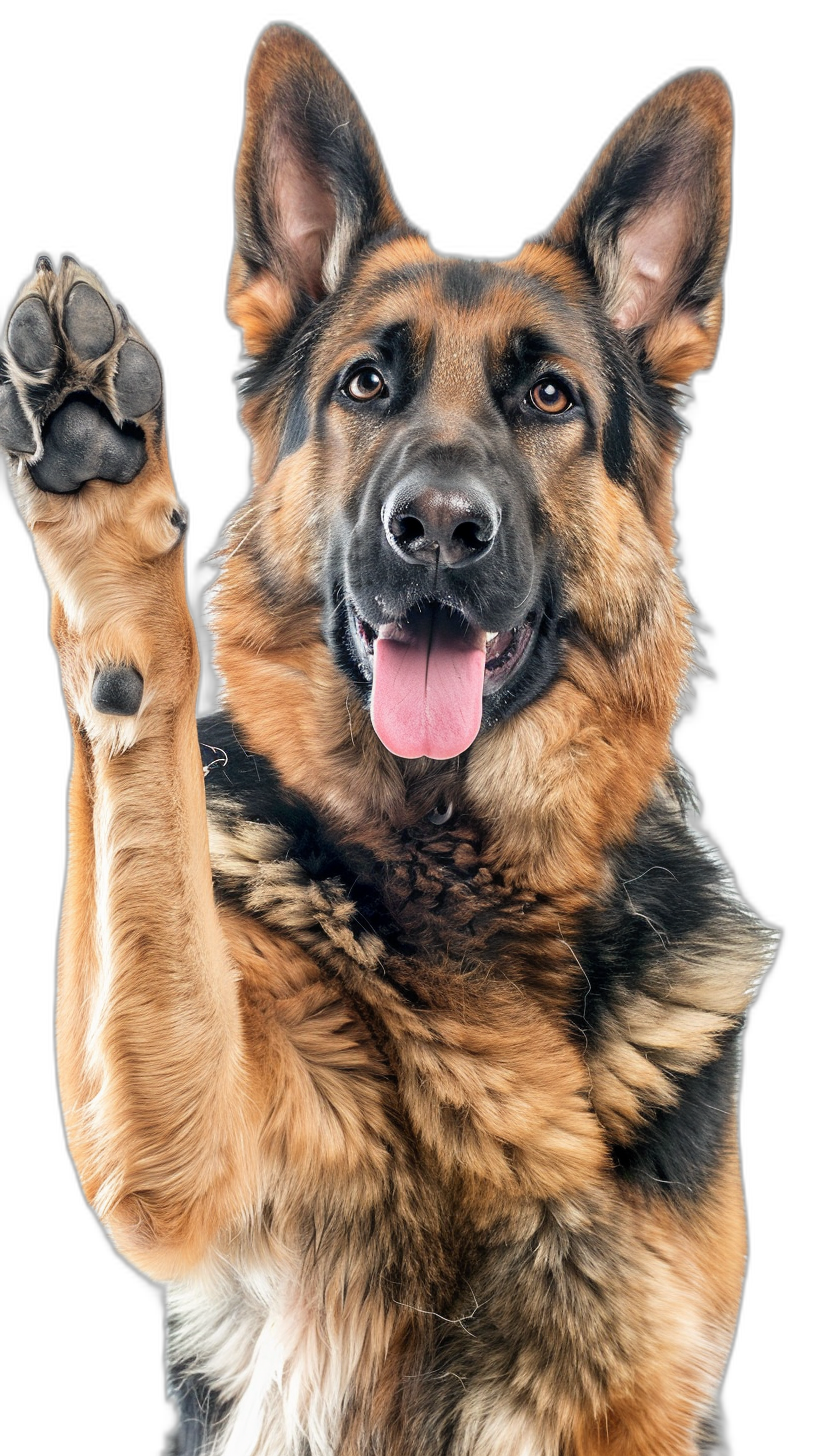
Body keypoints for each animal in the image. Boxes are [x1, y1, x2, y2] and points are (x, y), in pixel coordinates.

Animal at [0, 22, 775, 1456]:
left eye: (549, 396)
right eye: (367, 382)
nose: (439, 529)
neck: (459, 861)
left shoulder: (639, 1389)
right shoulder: (175, 1151)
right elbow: (148, 859)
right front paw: (102, 497)